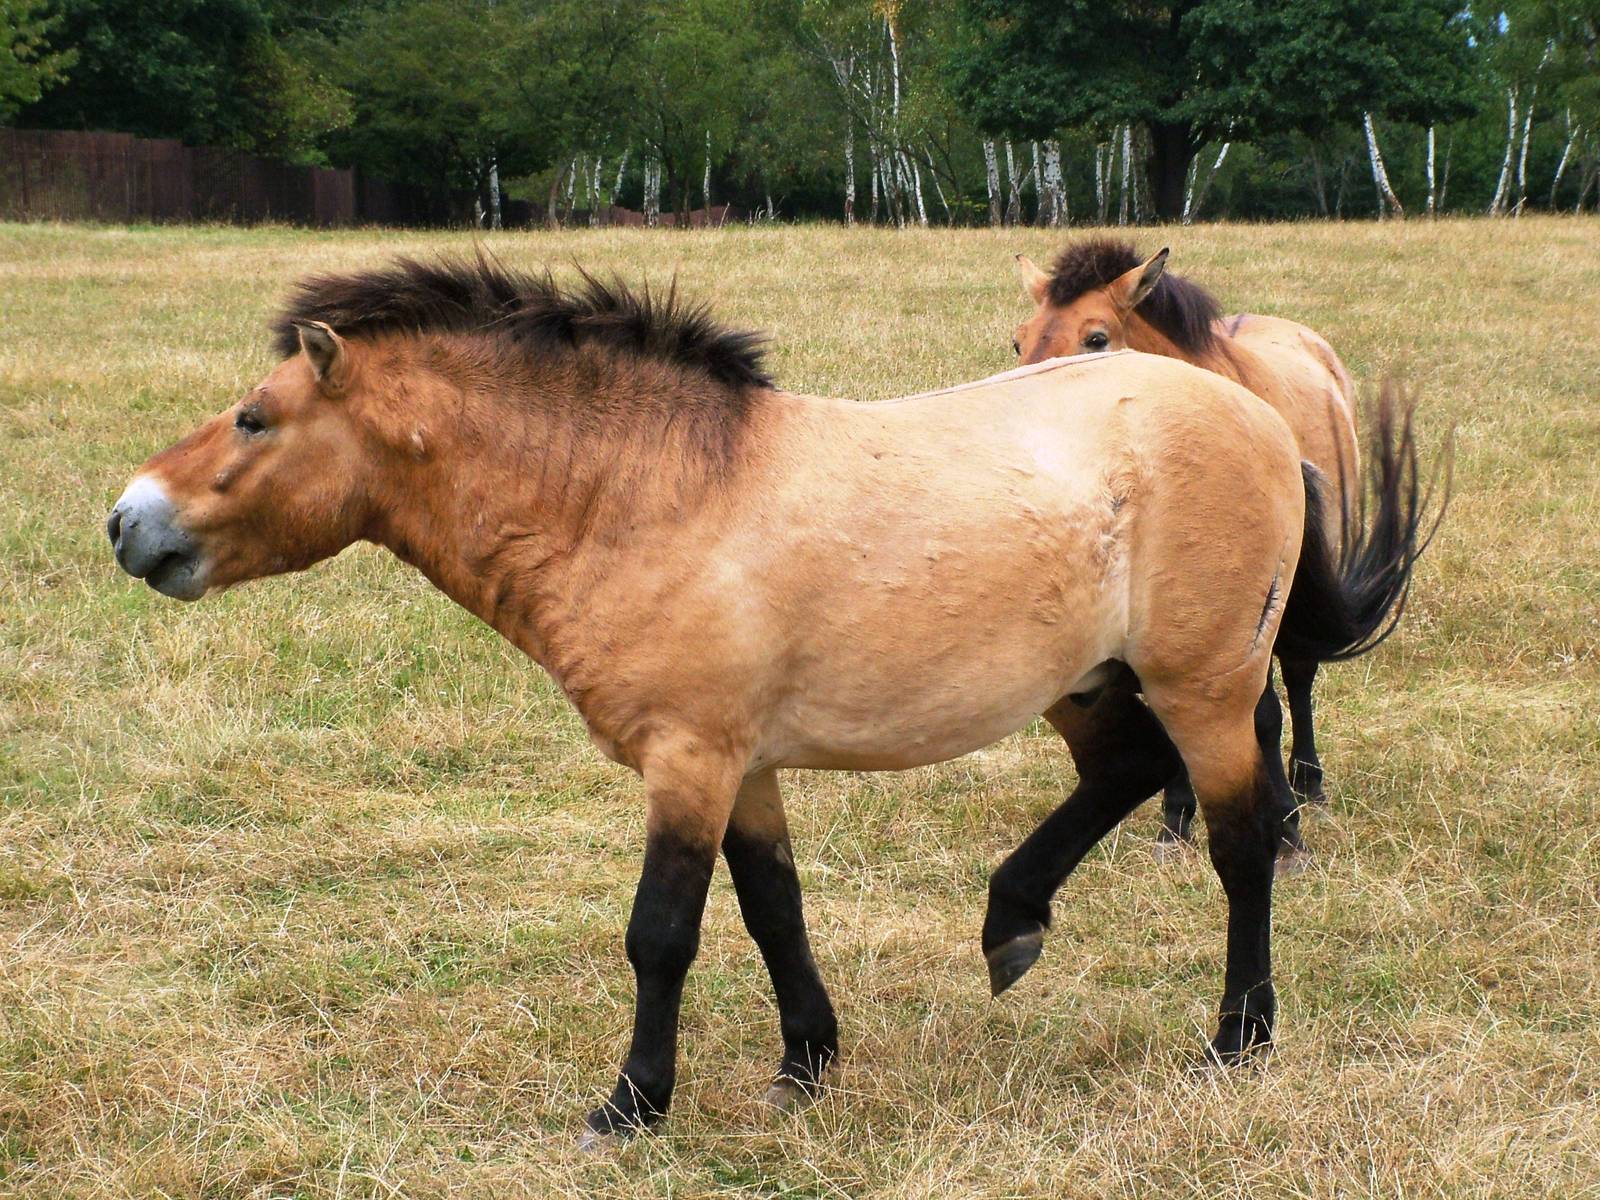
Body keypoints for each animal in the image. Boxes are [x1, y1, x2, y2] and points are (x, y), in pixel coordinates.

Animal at [1012, 238, 1364, 856]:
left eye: (1095, 339)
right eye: (1019, 339)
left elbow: (1262, 711)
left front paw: (1285, 830)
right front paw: (1175, 818)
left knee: (1299, 675)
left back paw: (1308, 784)